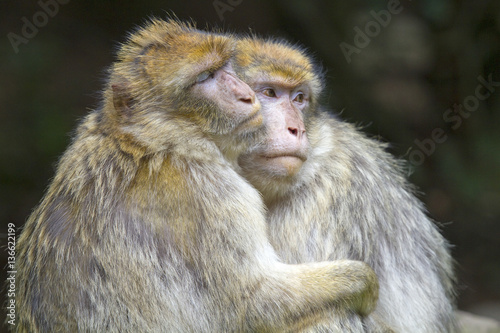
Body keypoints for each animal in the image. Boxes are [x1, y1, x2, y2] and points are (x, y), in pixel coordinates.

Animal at [12, 18, 378, 332]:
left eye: (226, 68)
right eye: (205, 77)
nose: (245, 94)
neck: (153, 139)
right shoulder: (212, 191)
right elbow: (254, 303)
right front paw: (365, 283)